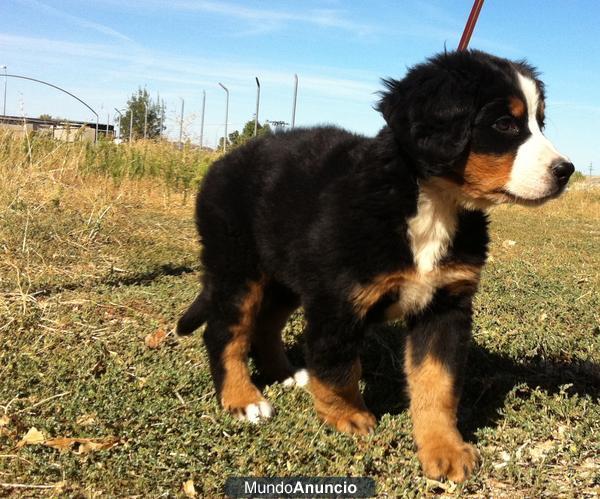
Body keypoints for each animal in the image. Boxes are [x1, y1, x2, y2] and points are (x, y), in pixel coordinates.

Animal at [177, 48, 572, 482]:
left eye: (540, 122)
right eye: (504, 123)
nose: (565, 171)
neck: (430, 202)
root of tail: (222, 163)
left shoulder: (445, 305)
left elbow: (438, 383)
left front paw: (444, 448)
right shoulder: (338, 298)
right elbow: (337, 368)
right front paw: (348, 417)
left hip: (285, 274)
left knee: (265, 323)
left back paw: (284, 374)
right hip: (237, 266)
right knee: (224, 332)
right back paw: (243, 399)